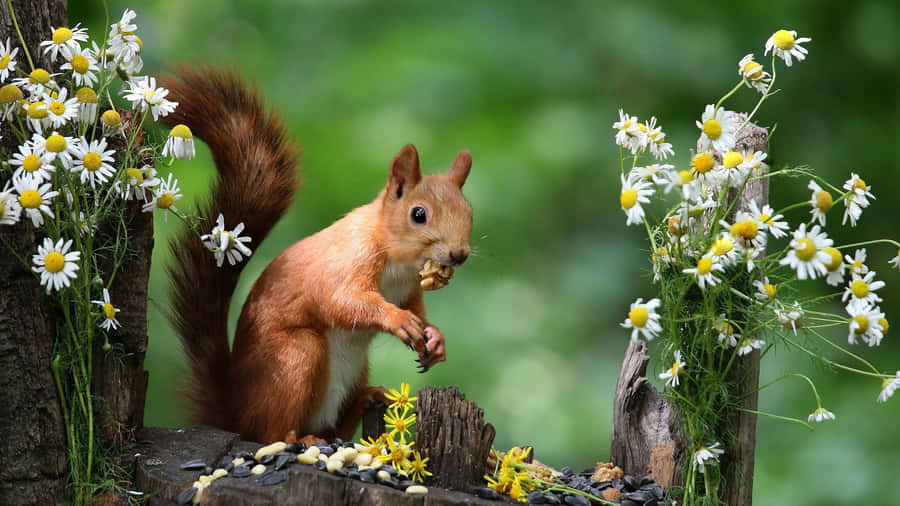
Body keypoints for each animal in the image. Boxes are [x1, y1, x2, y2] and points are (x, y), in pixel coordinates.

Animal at [159, 67, 473, 443]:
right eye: (419, 214)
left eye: (469, 212)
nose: (459, 254)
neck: (398, 261)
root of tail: (236, 415)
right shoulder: (347, 262)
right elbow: (344, 301)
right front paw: (398, 320)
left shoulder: (409, 288)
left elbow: (418, 310)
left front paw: (434, 337)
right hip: (297, 357)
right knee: (273, 433)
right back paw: (301, 439)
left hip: (355, 369)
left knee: (336, 426)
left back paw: (366, 400)